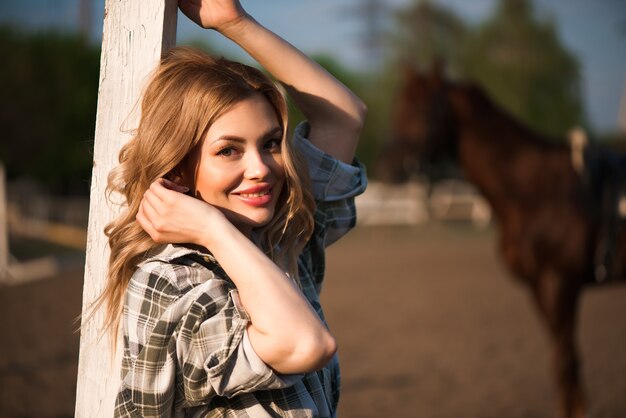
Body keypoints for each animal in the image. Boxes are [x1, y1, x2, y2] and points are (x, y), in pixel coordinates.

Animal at [376, 66, 624, 418]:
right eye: (398, 108)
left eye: (420, 110)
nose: (384, 168)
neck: (537, 190)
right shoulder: (539, 287)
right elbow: (563, 363)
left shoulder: (561, 283)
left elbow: (566, 363)